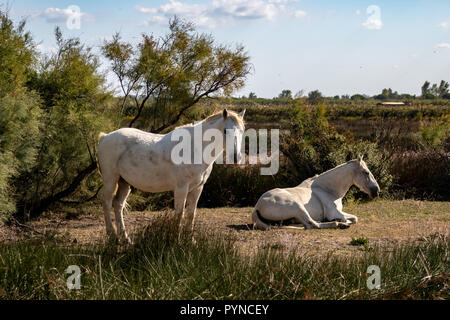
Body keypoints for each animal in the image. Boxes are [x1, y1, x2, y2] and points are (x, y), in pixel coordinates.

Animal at [98, 109, 246, 241]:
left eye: (242, 131)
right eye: (225, 131)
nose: (236, 158)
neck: (195, 148)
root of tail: (105, 137)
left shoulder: (197, 188)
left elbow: (191, 214)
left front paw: (190, 240)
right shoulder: (181, 187)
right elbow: (179, 214)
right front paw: (176, 240)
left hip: (124, 183)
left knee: (118, 205)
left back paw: (125, 238)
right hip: (111, 180)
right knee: (107, 203)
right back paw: (112, 236)